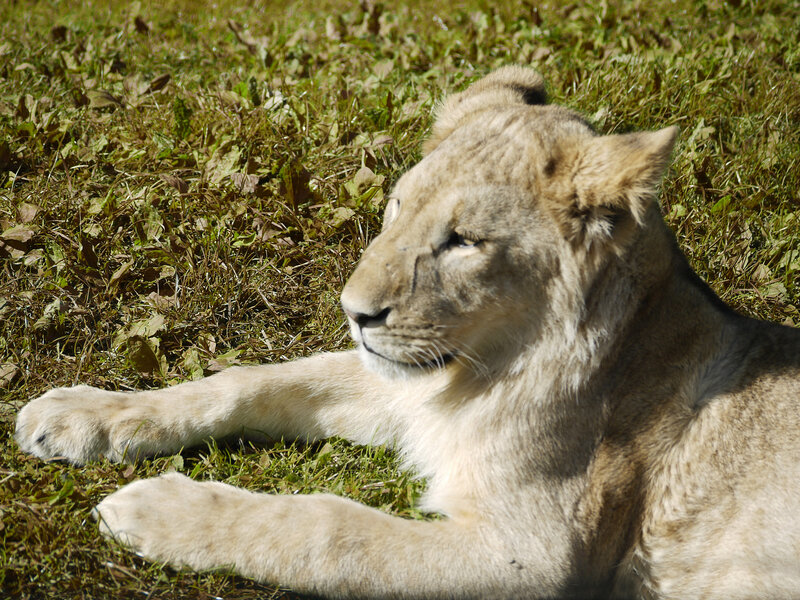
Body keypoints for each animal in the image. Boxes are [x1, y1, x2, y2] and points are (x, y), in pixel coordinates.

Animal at [15, 66, 800, 599]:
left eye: (463, 242)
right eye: (396, 206)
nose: (354, 311)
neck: (490, 369)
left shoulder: (536, 558)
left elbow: (331, 530)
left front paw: (156, 507)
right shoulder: (410, 392)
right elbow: (250, 380)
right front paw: (83, 413)